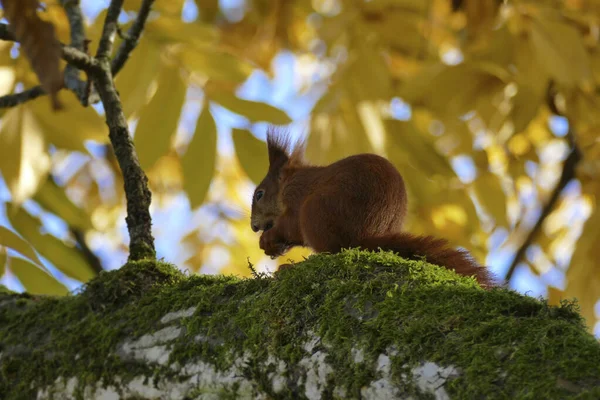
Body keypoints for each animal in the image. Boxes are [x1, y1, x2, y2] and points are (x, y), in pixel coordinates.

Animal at [248, 128, 496, 288]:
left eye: (259, 194)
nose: (253, 227)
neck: (288, 183)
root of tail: (364, 237)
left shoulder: (297, 197)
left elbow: (290, 227)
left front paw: (269, 238)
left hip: (315, 211)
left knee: (331, 251)